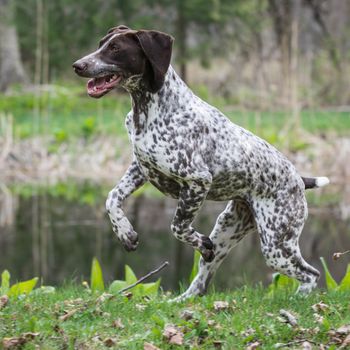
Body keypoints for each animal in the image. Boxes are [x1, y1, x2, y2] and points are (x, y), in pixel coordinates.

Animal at [72, 24, 330, 300]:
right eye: (101, 43)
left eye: (115, 48)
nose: (78, 65)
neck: (149, 109)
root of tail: (299, 180)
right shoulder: (140, 168)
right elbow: (112, 198)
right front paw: (125, 233)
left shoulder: (197, 181)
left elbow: (177, 226)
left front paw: (198, 241)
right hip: (228, 231)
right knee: (202, 281)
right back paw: (179, 301)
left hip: (276, 244)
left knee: (311, 274)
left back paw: (298, 299)